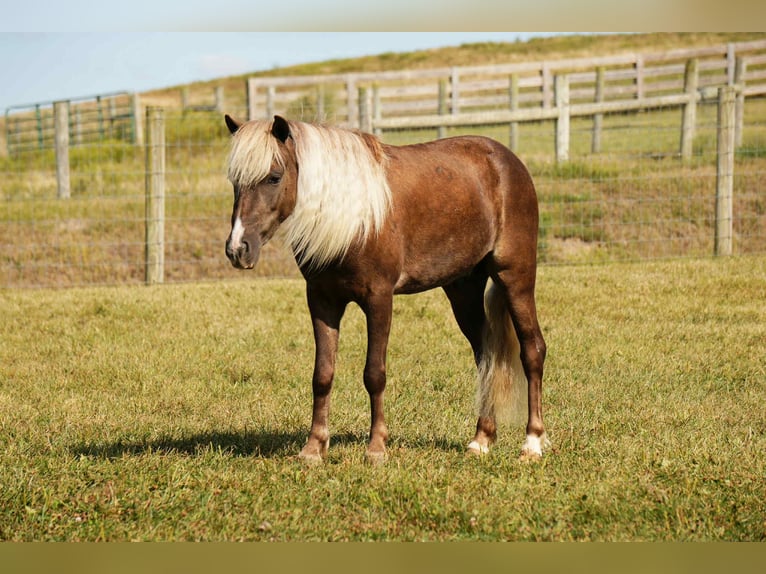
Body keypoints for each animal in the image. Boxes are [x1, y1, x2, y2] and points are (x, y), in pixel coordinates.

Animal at [224, 114, 549, 463]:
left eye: (274, 177)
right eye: (235, 181)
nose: (238, 248)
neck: (355, 219)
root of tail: (508, 161)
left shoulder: (378, 299)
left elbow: (374, 374)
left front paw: (376, 447)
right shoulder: (322, 300)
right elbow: (322, 374)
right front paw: (313, 447)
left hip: (515, 278)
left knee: (532, 350)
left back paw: (532, 443)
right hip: (463, 289)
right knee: (486, 356)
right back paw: (481, 439)